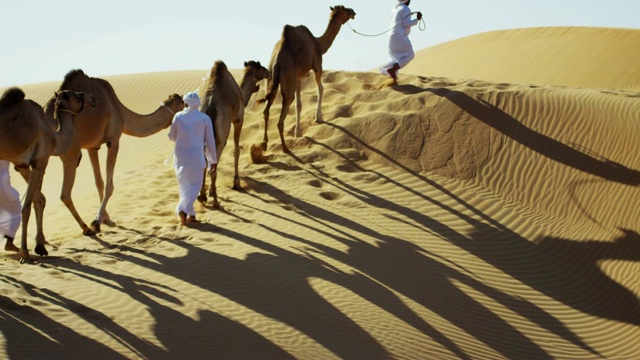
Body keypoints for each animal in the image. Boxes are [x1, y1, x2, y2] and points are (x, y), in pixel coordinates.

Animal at [0, 87, 95, 262]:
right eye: (78, 96)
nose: (93, 98)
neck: (55, 136)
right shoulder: (40, 160)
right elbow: (27, 206)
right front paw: (26, 252)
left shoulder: (22, 165)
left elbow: (39, 199)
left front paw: (40, 245)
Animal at [43, 69, 184, 235]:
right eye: (184, 104)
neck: (121, 111)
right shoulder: (114, 140)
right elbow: (109, 185)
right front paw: (97, 221)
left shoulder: (92, 146)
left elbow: (99, 182)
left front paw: (106, 219)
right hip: (70, 152)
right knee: (64, 194)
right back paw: (85, 228)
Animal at [200, 59, 270, 208]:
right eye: (260, 66)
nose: (268, 71)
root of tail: (210, 103)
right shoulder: (238, 119)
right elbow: (236, 150)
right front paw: (236, 183)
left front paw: (209, 192)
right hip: (222, 132)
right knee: (213, 164)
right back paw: (215, 202)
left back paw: (201, 197)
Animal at [256, 5, 356, 152]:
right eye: (344, 9)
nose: (353, 12)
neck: (318, 43)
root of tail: (276, 64)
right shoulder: (317, 65)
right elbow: (321, 88)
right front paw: (318, 117)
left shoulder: (297, 77)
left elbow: (299, 105)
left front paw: (298, 132)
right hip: (287, 81)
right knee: (281, 117)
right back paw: (285, 148)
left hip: (270, 80)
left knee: (266, 110)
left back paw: (264, 143)